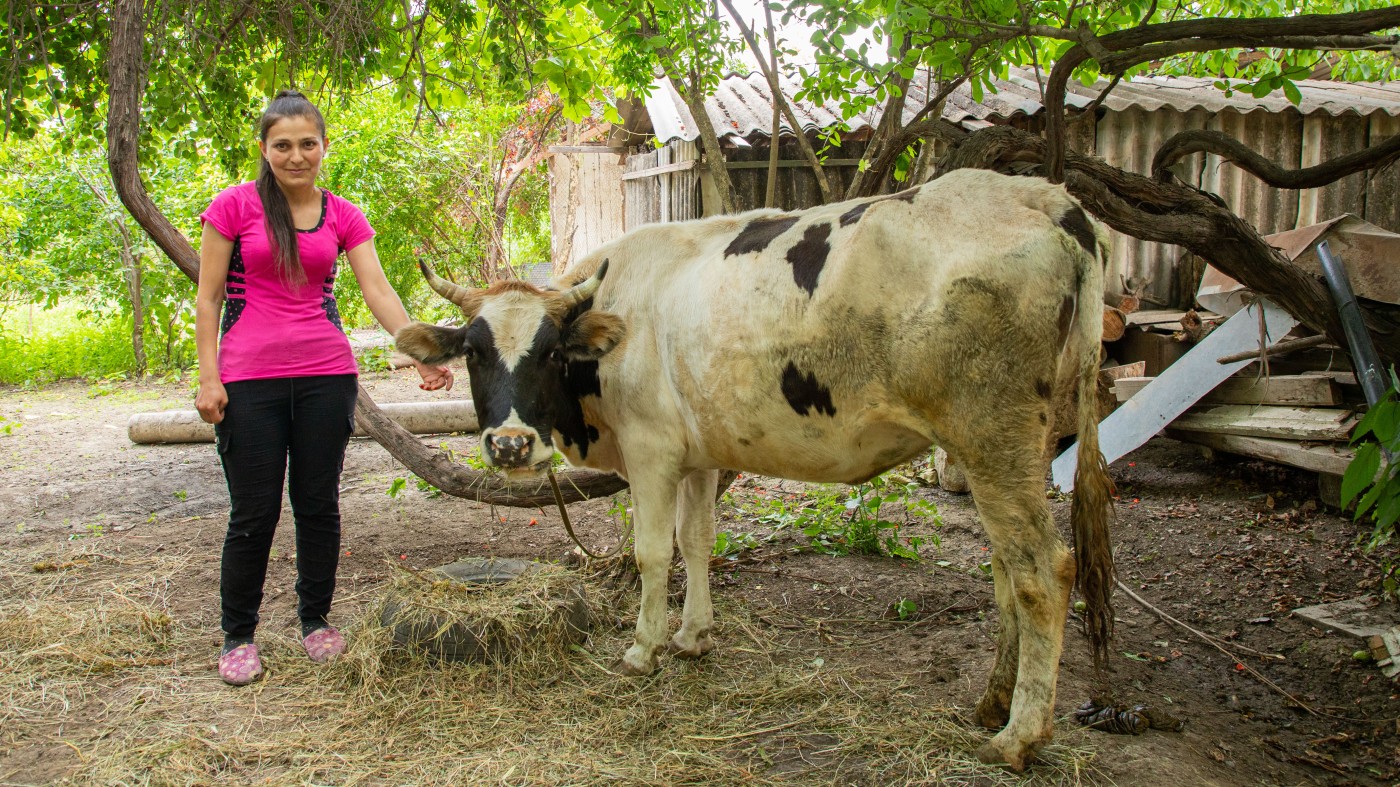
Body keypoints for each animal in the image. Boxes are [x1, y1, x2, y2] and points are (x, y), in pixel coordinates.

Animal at [397, 170, 1114, 767]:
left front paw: (644, 647)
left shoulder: (650, 450)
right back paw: (993, 702)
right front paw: (693, 635)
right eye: (473, 352)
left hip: (994, 436)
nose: (511, 445)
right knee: (1006, 570)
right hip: (1000, 448)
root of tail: (1041, 196)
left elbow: (653, 552)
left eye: (548, 353)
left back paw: (1019, 735)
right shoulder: (696, 455)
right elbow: (697, 541)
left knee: (1043, 571)